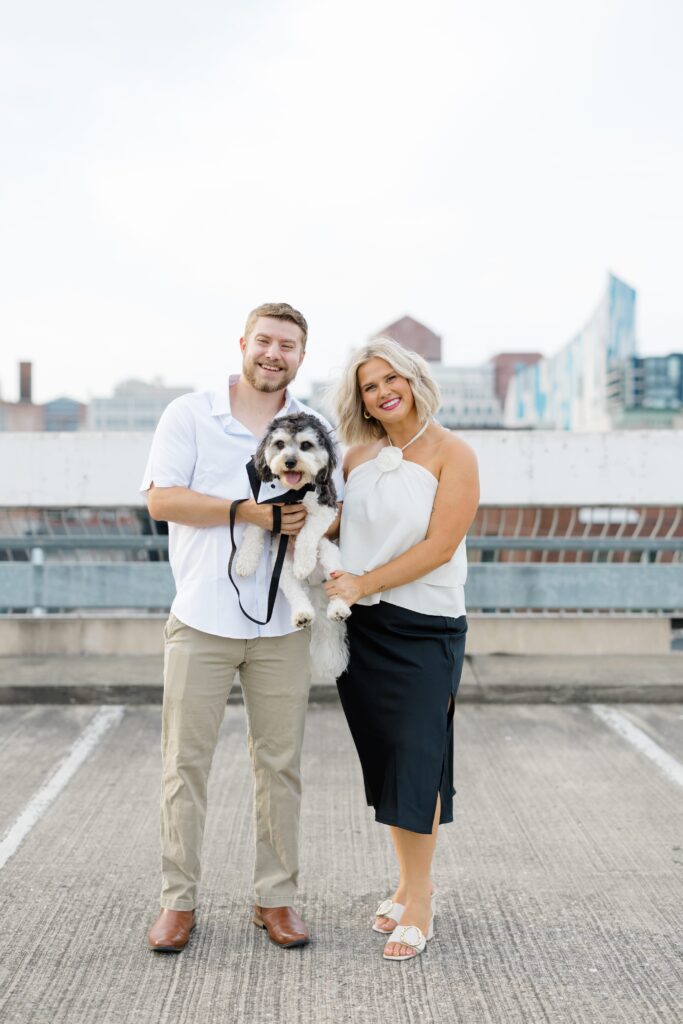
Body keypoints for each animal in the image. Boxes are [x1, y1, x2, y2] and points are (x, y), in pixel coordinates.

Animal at [236, 411, 352, 684]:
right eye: (279, 444)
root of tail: (314, 582)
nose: (289, 461)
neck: (292, 493)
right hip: (281, 572)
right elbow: (253, 532)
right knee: (296, 593)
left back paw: (338, 608)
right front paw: (245, 561)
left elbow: (308, 534)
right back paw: (302, 615)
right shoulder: (263, 508)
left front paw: (303, 562)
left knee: (337, 585)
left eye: (305, 445)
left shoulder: (325, 509)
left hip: (330, 556)